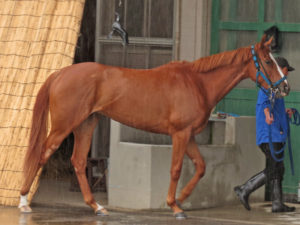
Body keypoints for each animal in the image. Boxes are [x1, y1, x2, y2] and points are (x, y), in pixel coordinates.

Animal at [18, 35, 288, 218]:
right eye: (267, 61)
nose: (285, 87)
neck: (196, 83)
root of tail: (61, 73)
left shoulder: (189, 136)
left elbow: (200, 167)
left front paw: (181, 198)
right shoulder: (180, 134)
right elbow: (176, 169)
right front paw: (174, 205)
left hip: (85, 125)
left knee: (78, 161)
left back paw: (98, 207)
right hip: (63, 127)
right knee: (42, 154)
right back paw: (23, 202)